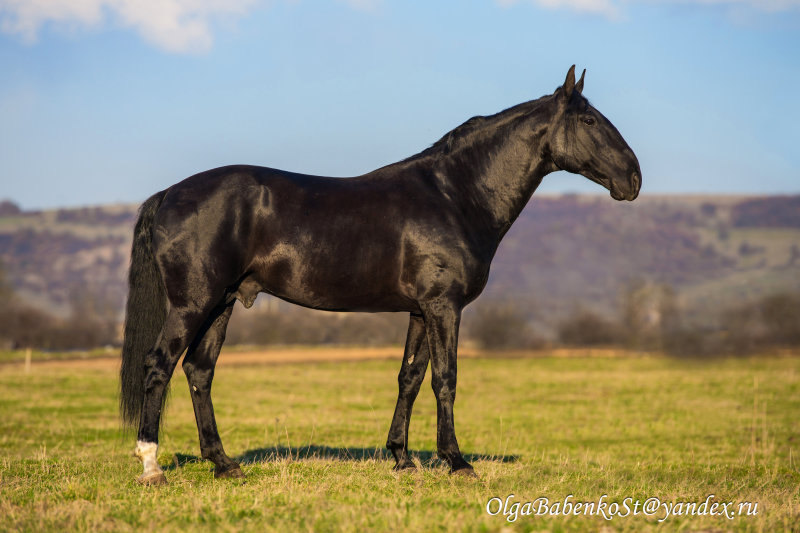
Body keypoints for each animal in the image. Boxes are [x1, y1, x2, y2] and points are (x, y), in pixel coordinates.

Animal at [122, 64, 640, 484]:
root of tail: (169, 193)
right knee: (160, 365)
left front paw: (402, 458)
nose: (633, 179)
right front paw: (456, 462)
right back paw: (151, 466)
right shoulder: (444, 306)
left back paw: (224, 464)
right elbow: (445, 378)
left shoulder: (420, 310)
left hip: (224, 301)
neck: (454, 195)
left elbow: (409, 377)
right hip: (193, 302)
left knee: (199, 370)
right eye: (590, 121)